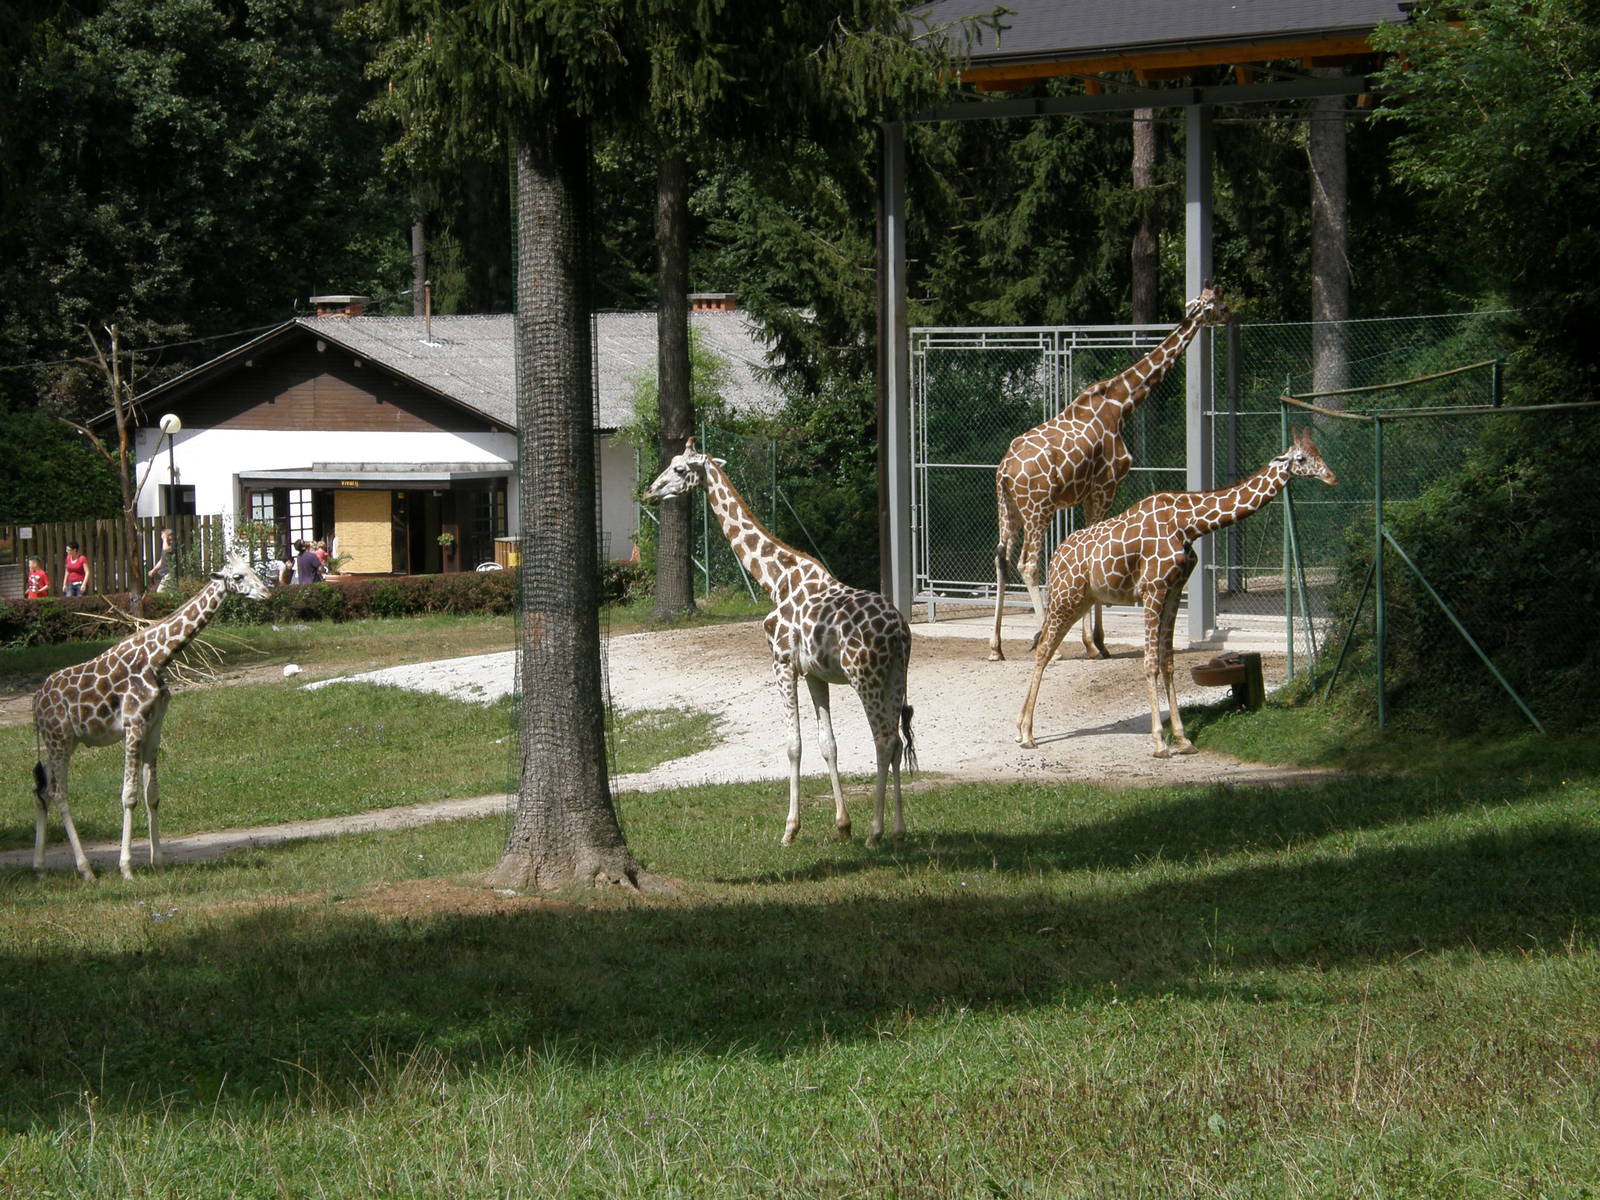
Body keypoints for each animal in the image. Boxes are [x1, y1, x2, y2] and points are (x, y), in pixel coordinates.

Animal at [31, 553, 271, 880]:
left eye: (252, 570)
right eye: (237, 577)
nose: (267, 593)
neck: (158, 659)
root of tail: (35, 702)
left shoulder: (154, 726)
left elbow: (152, 794)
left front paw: (158, 862)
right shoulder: (133, 725)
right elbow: (129, 795)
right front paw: (127, 869)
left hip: (66, 741)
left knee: (42, 789)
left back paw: (40, 867)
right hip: (57, 737)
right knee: (58, 792)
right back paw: (86, 870)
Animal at [643, 440, 915, 845]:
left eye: (679, 469)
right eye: (671, 462)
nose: (650, 491)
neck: (774, 579)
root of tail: (900, 630)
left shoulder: (782, 663)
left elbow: (793, 745)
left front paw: (790, 829)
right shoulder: (814, 673)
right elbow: (827, 744)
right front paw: (842, 824)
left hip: (865, 676)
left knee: (883, 740)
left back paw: (876, 831)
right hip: (896, 676)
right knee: (897, 742)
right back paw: (897, 829)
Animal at [991, 283, 1233, 662]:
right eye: (1219, 304)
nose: (1232, 316)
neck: (1121, 405)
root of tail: (1005, 469)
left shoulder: (1090, 494)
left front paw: (1095, 642)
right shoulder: (1105, 487)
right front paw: (1096, 643)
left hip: (1009, 507)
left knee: (1001, 558)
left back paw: (996, 647)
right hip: (1038, 506)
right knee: (1028, 564)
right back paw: (1046, 643)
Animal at [1015, 430, 1336, 757]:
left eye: (1319, 453)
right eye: (1301, 458)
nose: (1331, 477)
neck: (1188, 524)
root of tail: (1056, 557)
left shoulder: (1173, 591)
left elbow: (1167, 662)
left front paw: (1183, 738)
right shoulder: (1152, 589)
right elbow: (1150, 662)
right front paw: (1159, 741)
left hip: (1082, 600)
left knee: (1047, 645)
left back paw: (1021, 728)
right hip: (1064, 598)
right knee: (1043, 650)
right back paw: (1027, 733)